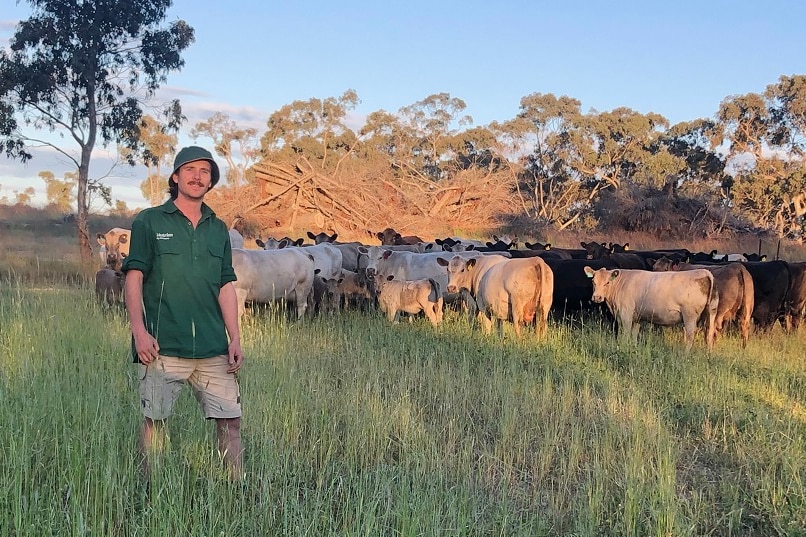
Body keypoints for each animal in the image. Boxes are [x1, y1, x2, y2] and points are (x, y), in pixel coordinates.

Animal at [588, 264, 720, 350]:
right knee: (710, 333)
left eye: (607, 282)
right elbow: (634, 334)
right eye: (593, 281)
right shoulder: (637, 317)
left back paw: (685, 355)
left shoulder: (625, 314)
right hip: (711, 311)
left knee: (690, 335)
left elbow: (625, 333)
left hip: (689, 315)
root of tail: (704, 272)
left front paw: (623, 347)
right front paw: (633, 348)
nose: (597, 297)